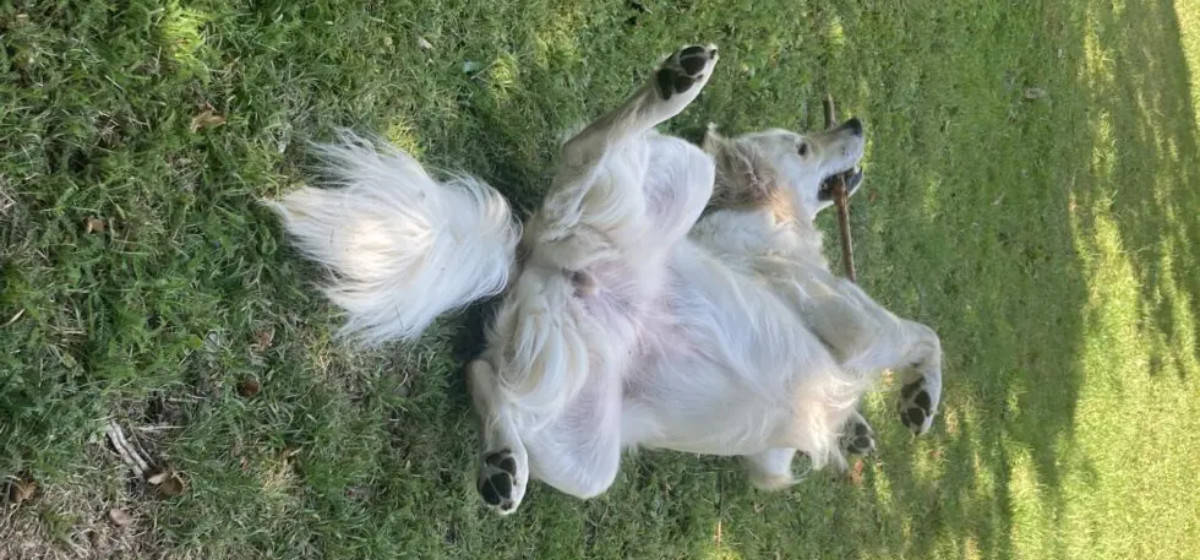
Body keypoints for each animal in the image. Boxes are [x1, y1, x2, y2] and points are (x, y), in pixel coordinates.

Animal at [267, 44, 940, 518]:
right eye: (803, 145)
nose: (855, 121)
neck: (767, 219)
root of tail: (535, 254)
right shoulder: (854, 325)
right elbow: (923, 335)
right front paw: (920, 399)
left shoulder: (773, 450)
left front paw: (857, 431)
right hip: (684, 172)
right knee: (579, 152)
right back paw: (677, 82)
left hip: (585, 456)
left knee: (484, 374)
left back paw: (502, 465)